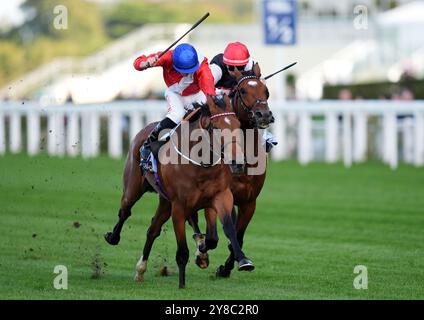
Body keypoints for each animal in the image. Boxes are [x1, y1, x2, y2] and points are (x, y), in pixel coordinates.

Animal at [105, 94, 253, 288]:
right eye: (216, 127)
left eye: (237, 125)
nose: (237, 162)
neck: (201, 163)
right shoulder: (179, 206)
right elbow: (182, 250)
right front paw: (182, 284)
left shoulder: (220, 196)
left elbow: (225, 232)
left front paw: (243, 260)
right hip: (133, 188)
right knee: (125, 211)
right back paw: (113, 238)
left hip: (165, 201)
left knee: (153, 229)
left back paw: (141, 270)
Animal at [189, 63, 274, 278]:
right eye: (243, 90)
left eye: (266, 90)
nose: (264, 115)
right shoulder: (215, 195)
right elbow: (212, 236)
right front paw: (203, 253)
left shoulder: (249, 201)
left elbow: (238, 235)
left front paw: (229, 266)